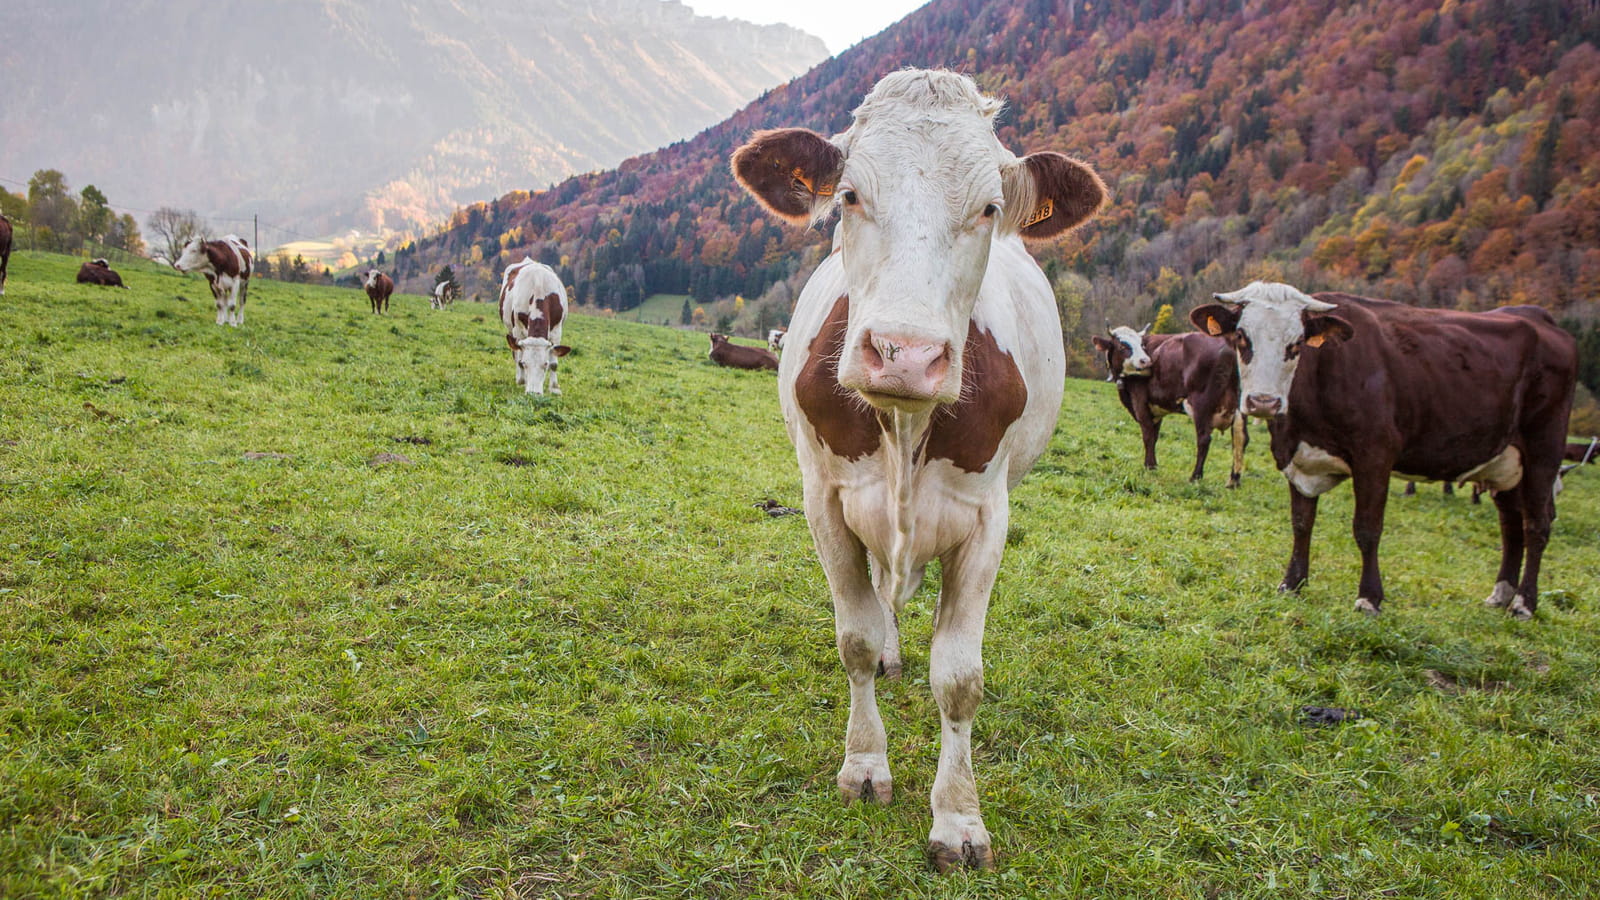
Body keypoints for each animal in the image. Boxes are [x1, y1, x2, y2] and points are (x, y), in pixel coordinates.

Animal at [498, 257, 569, 394]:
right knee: (515, 353)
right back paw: (519, 379)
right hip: (510, 329)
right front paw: (523, 382)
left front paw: (554, 388)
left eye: (545, 364)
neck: (539, 287)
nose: (533, 394)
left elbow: (554, 362)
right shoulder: (518, 330)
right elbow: (519, 357)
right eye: (525, 363)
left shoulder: (557, 331)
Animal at [731, 69, 1106, 870]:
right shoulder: (825, 500)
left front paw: (958, 820)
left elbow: (959, 678)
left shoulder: (987, 518)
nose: (905, 354)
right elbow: (856, 638)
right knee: (881, 593)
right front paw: (866, 766)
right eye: (848, 194)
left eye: (990, 208)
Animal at [1092, 325, 1248, 486]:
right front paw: (1153, 465)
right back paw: (1233, 481)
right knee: (1241, 439)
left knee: (1204, 439)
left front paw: (1149, 466)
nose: (1146, 361)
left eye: (1141, 345)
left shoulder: (1140, 402)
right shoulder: (1156, 410)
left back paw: (1195, 477)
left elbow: (1148, 435)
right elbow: (1154, 436)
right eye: (1122, 345)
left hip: (1202, 405)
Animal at [1189, 281, 1577, 620]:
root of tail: (1541, 319)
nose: (1263, 402)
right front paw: (1292, 583)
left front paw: (1369, 598)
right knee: (1511, 525)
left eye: (1297, 342)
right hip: (1505, 461)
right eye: (1242, 337)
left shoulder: (1375, 456)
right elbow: (1301, 523)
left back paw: (1524, 604)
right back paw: (1501, 593)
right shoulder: (1298, 459)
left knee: (1537, 524)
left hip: (1543, 450)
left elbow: (1367, 528)